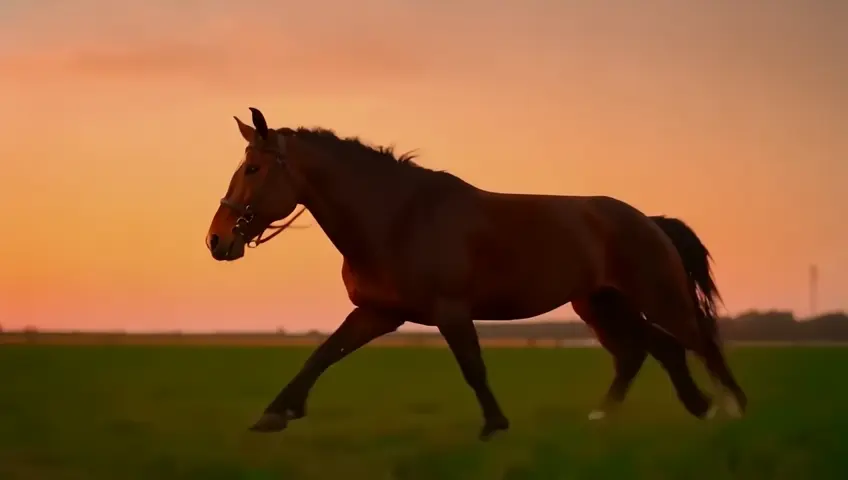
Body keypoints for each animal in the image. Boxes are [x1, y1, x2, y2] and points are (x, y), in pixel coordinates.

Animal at [207, 107, 748, 440]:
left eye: (253, 168)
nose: (217, 240)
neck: (398, 216)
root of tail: (649, 220)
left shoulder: (450, 311)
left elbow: (472, 366)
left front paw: (494, 425)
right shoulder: (378, 313)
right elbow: (322, 355)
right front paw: (275, 414)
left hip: (657, 296)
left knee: (696, 342)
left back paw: (732, 409)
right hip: (603, 304)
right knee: (649, 350)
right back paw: (645, 412)